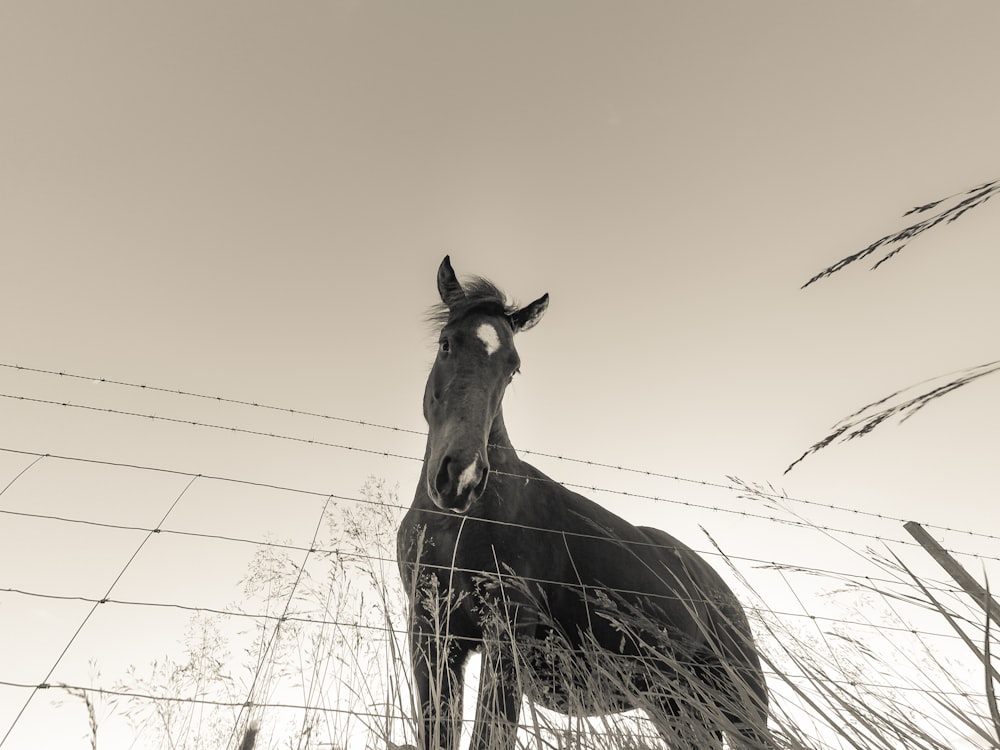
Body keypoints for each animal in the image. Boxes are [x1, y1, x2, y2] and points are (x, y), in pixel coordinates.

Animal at [394, 260, 768, 750]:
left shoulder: (507, 635)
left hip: (738, 706)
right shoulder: (432, 639)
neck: (454, 527)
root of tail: (722, 592)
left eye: (512, 369)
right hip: (677, 705)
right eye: (446, 344)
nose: (462, 477)